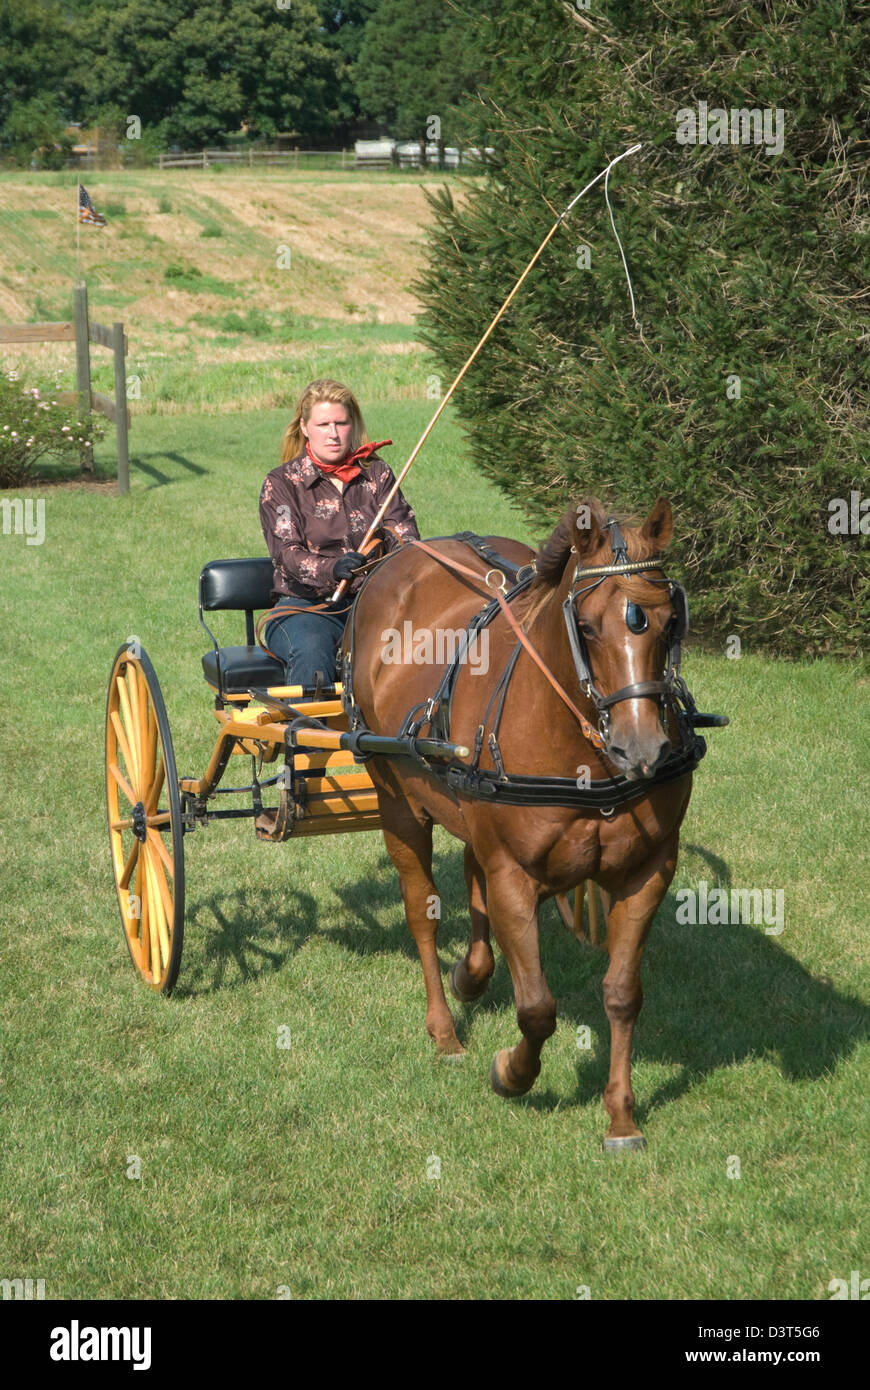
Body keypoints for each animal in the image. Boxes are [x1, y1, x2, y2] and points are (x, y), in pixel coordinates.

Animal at [341, 494, 700, 1145]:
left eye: (670, 621)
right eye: (587, 626)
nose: (642, 748)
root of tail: (396, 558)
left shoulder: (649, 871)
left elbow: (623, 993)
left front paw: (621, 1115)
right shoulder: (513, 870)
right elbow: (536, 1007)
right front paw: (513, 1073)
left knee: (469, 871)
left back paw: (472, 974)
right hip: (395, 798)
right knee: (422, 911)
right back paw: (444, 1028)